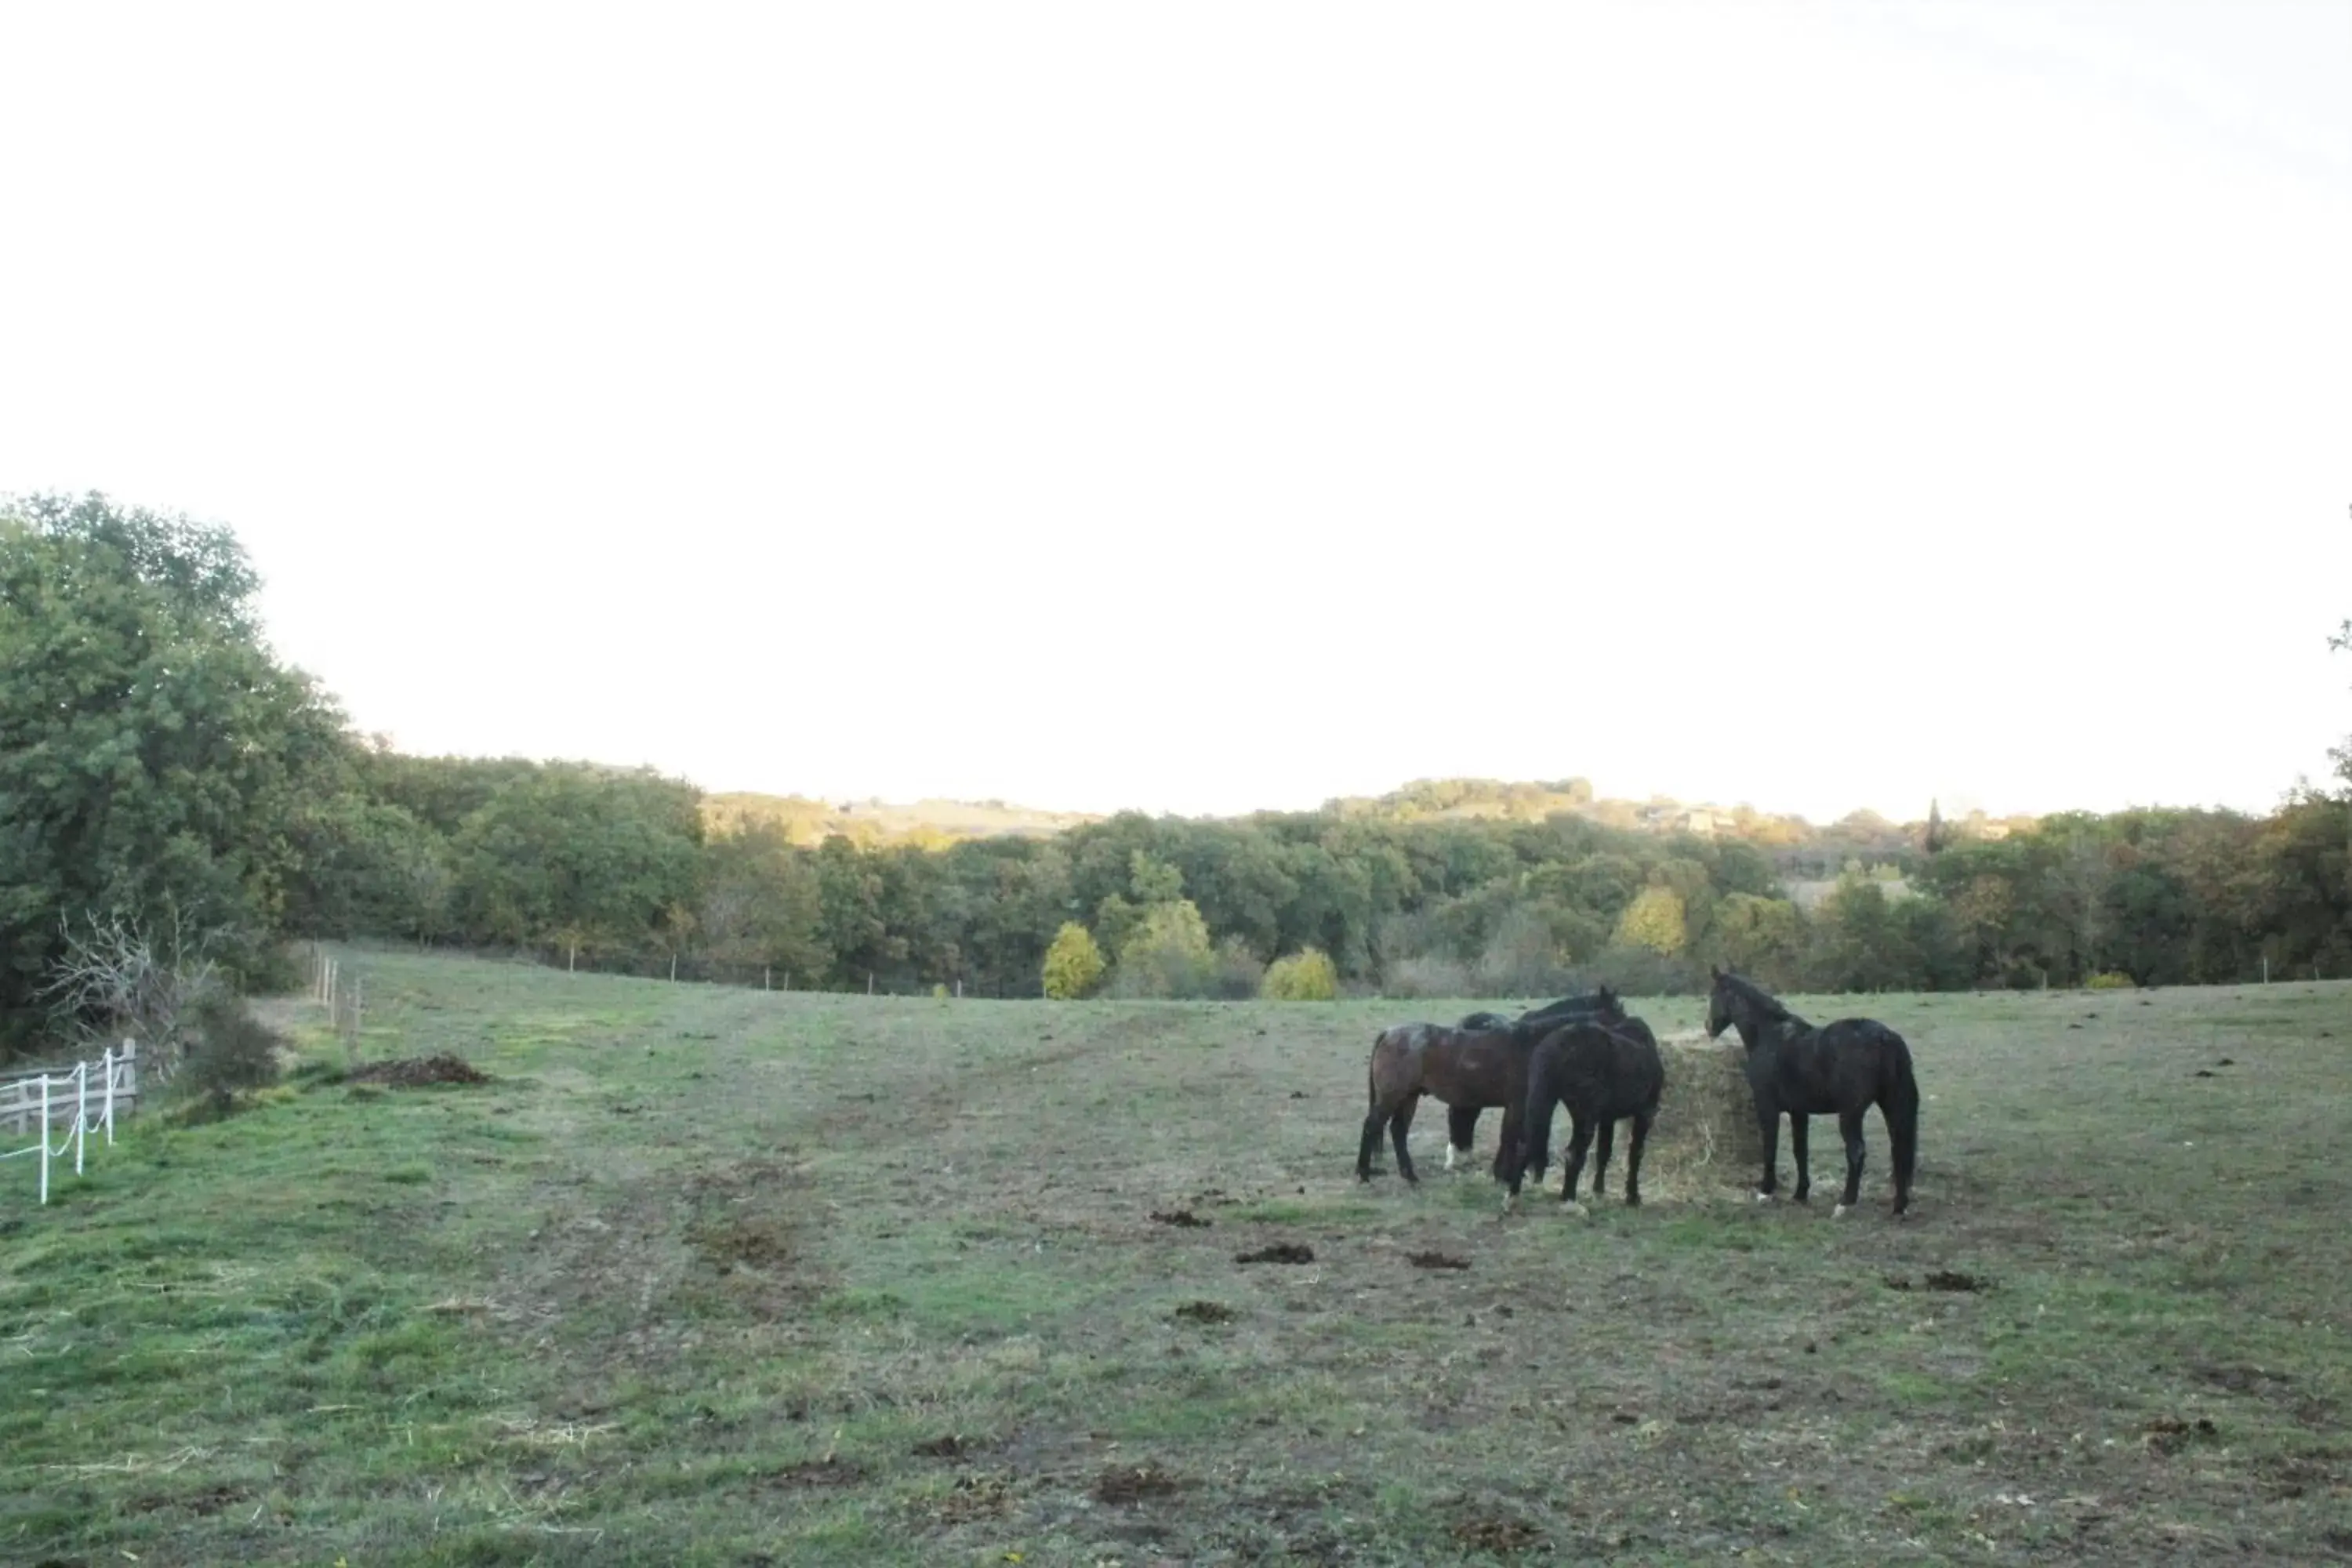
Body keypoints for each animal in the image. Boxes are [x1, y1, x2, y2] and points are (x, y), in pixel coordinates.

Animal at [1496, 1020, 1665, 1213]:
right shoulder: (1645, 1113)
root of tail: (1556, 1047)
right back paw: (1570, 1200)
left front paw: (1599, 1192)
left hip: (1542, 1101)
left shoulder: (1608, 1118)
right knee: (1574, 1151)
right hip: (1584, 1116)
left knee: (1527, 1145)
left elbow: (1604, 1152)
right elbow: (1636, 1153)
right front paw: (1633, 1196)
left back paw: (1513, 1197)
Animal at [1722, 964, 1919, 1222]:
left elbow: (1770, 1146)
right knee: (1899, 1151)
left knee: (1857, 1152)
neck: (1769, 1034)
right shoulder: (1798, 1112)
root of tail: (1886, 1037)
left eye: (1713, 996)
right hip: (1891, 1105)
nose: (1709, 1027)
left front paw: (1766, 1191)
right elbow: (1800, 1150)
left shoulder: (1768, 1107)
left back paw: (1844, 1204)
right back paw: (1899, 1206)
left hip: (1851, 1114)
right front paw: (1800, 1193)